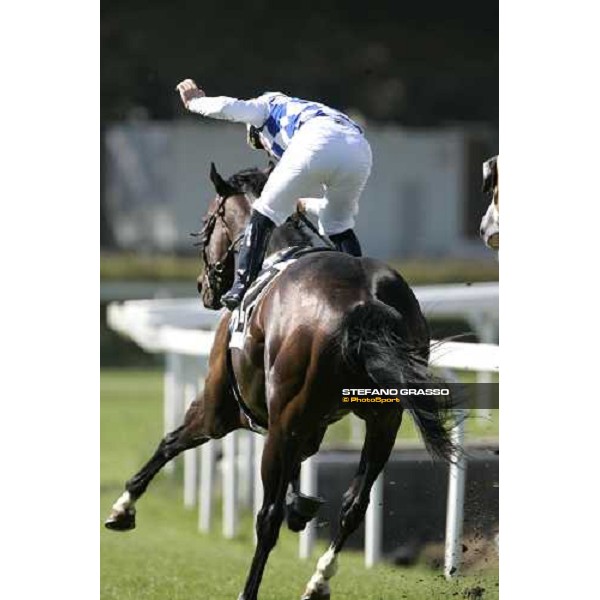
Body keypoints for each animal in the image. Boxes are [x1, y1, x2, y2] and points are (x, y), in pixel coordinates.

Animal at [106, 163, 454, 600]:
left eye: (206, 223)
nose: (203, 286)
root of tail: (364, 301)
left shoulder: (222, 409)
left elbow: (170, 441)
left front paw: (123, 507)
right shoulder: (310, 427)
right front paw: (301, 505)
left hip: (284, 422)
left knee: (266, 517)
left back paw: (249, 590)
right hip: (383, 421)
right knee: (354, 505)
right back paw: (318, 580)